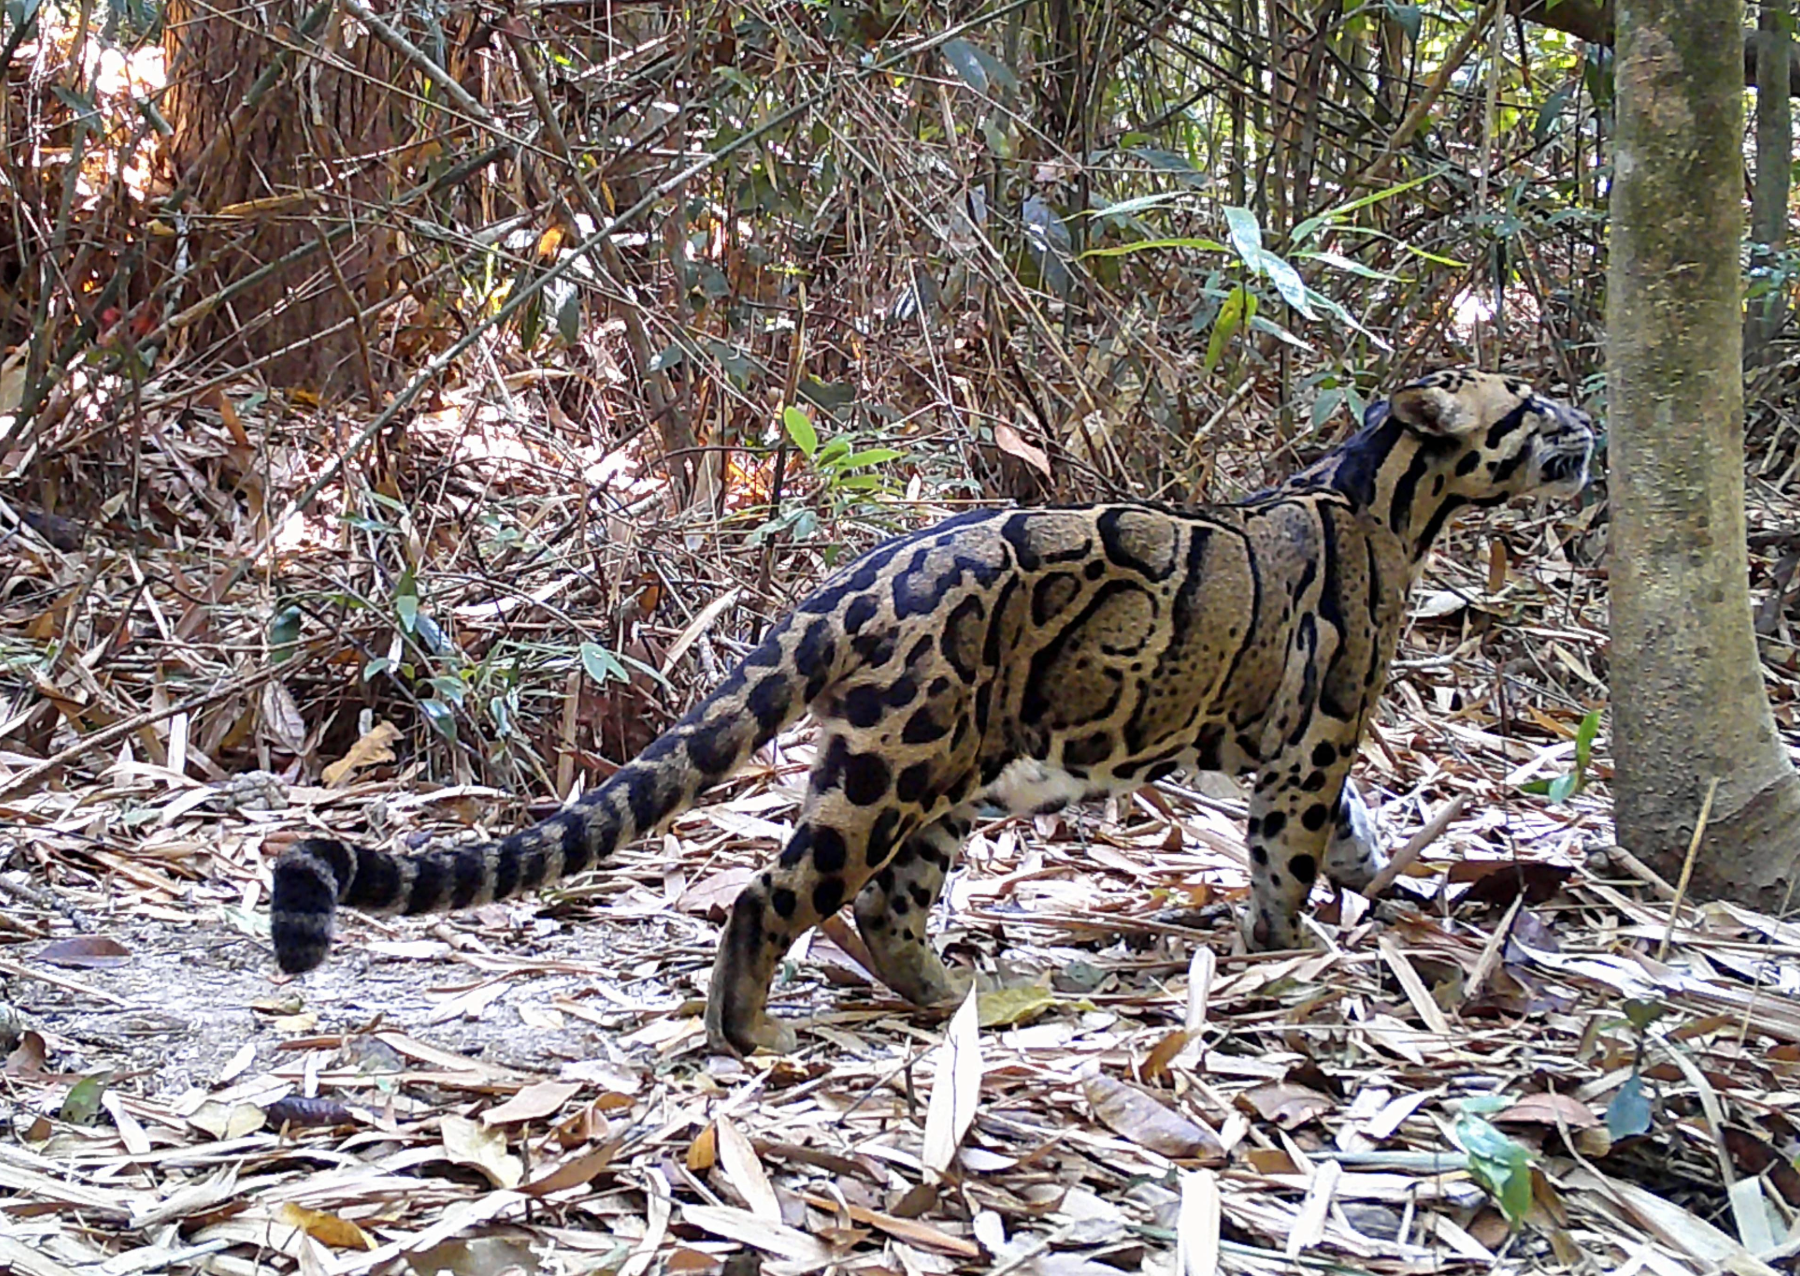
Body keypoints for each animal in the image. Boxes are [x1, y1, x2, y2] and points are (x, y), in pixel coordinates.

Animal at [272, 367, 1594, 1057]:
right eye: (1531, 407)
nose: (1591, 426)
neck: (1388, 493)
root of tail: (853, 579)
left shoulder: (1280, 746)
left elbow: (1354, 835)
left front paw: (1386, 893)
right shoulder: (1316, 734)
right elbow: (1292, 852)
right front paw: (1286, 954)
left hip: (949, 771)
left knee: (887, 906)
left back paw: (953, 996)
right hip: (894, 764)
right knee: (772, 893)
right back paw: (752, 1035)